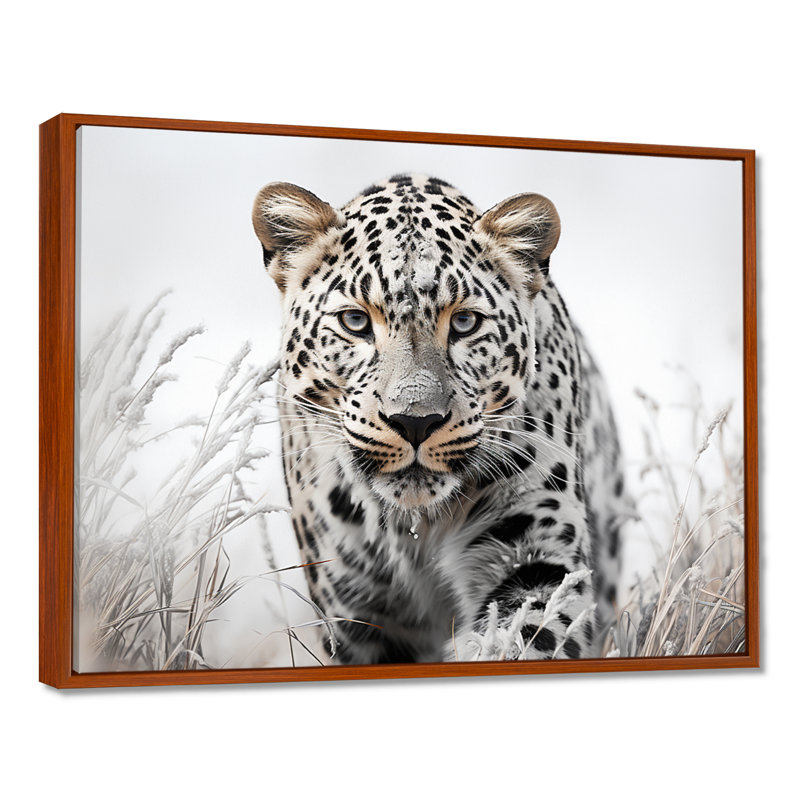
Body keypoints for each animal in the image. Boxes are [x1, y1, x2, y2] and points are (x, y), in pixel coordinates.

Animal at [252, 173, 630, 664]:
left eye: (465, 323)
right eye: (355, 321)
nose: (415, 421)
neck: (415, 530)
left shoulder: (535, 552)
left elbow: (525, 635)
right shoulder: (355, 607)